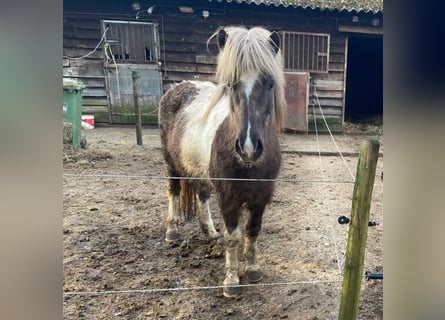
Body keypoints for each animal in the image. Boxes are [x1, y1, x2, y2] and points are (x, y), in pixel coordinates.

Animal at [158, 25, 286, 298]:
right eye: (230, 84)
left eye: (269, 83)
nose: (248, 147)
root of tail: (180, 86)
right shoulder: (228, 197)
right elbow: (233, 236)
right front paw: (231, 281)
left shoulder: (261, 196)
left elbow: (252, 231)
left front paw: (253, 270)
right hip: (172, 165)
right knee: (173, 191)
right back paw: (172, 231)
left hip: (198, 169)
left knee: (202, 195)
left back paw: (210, 232)